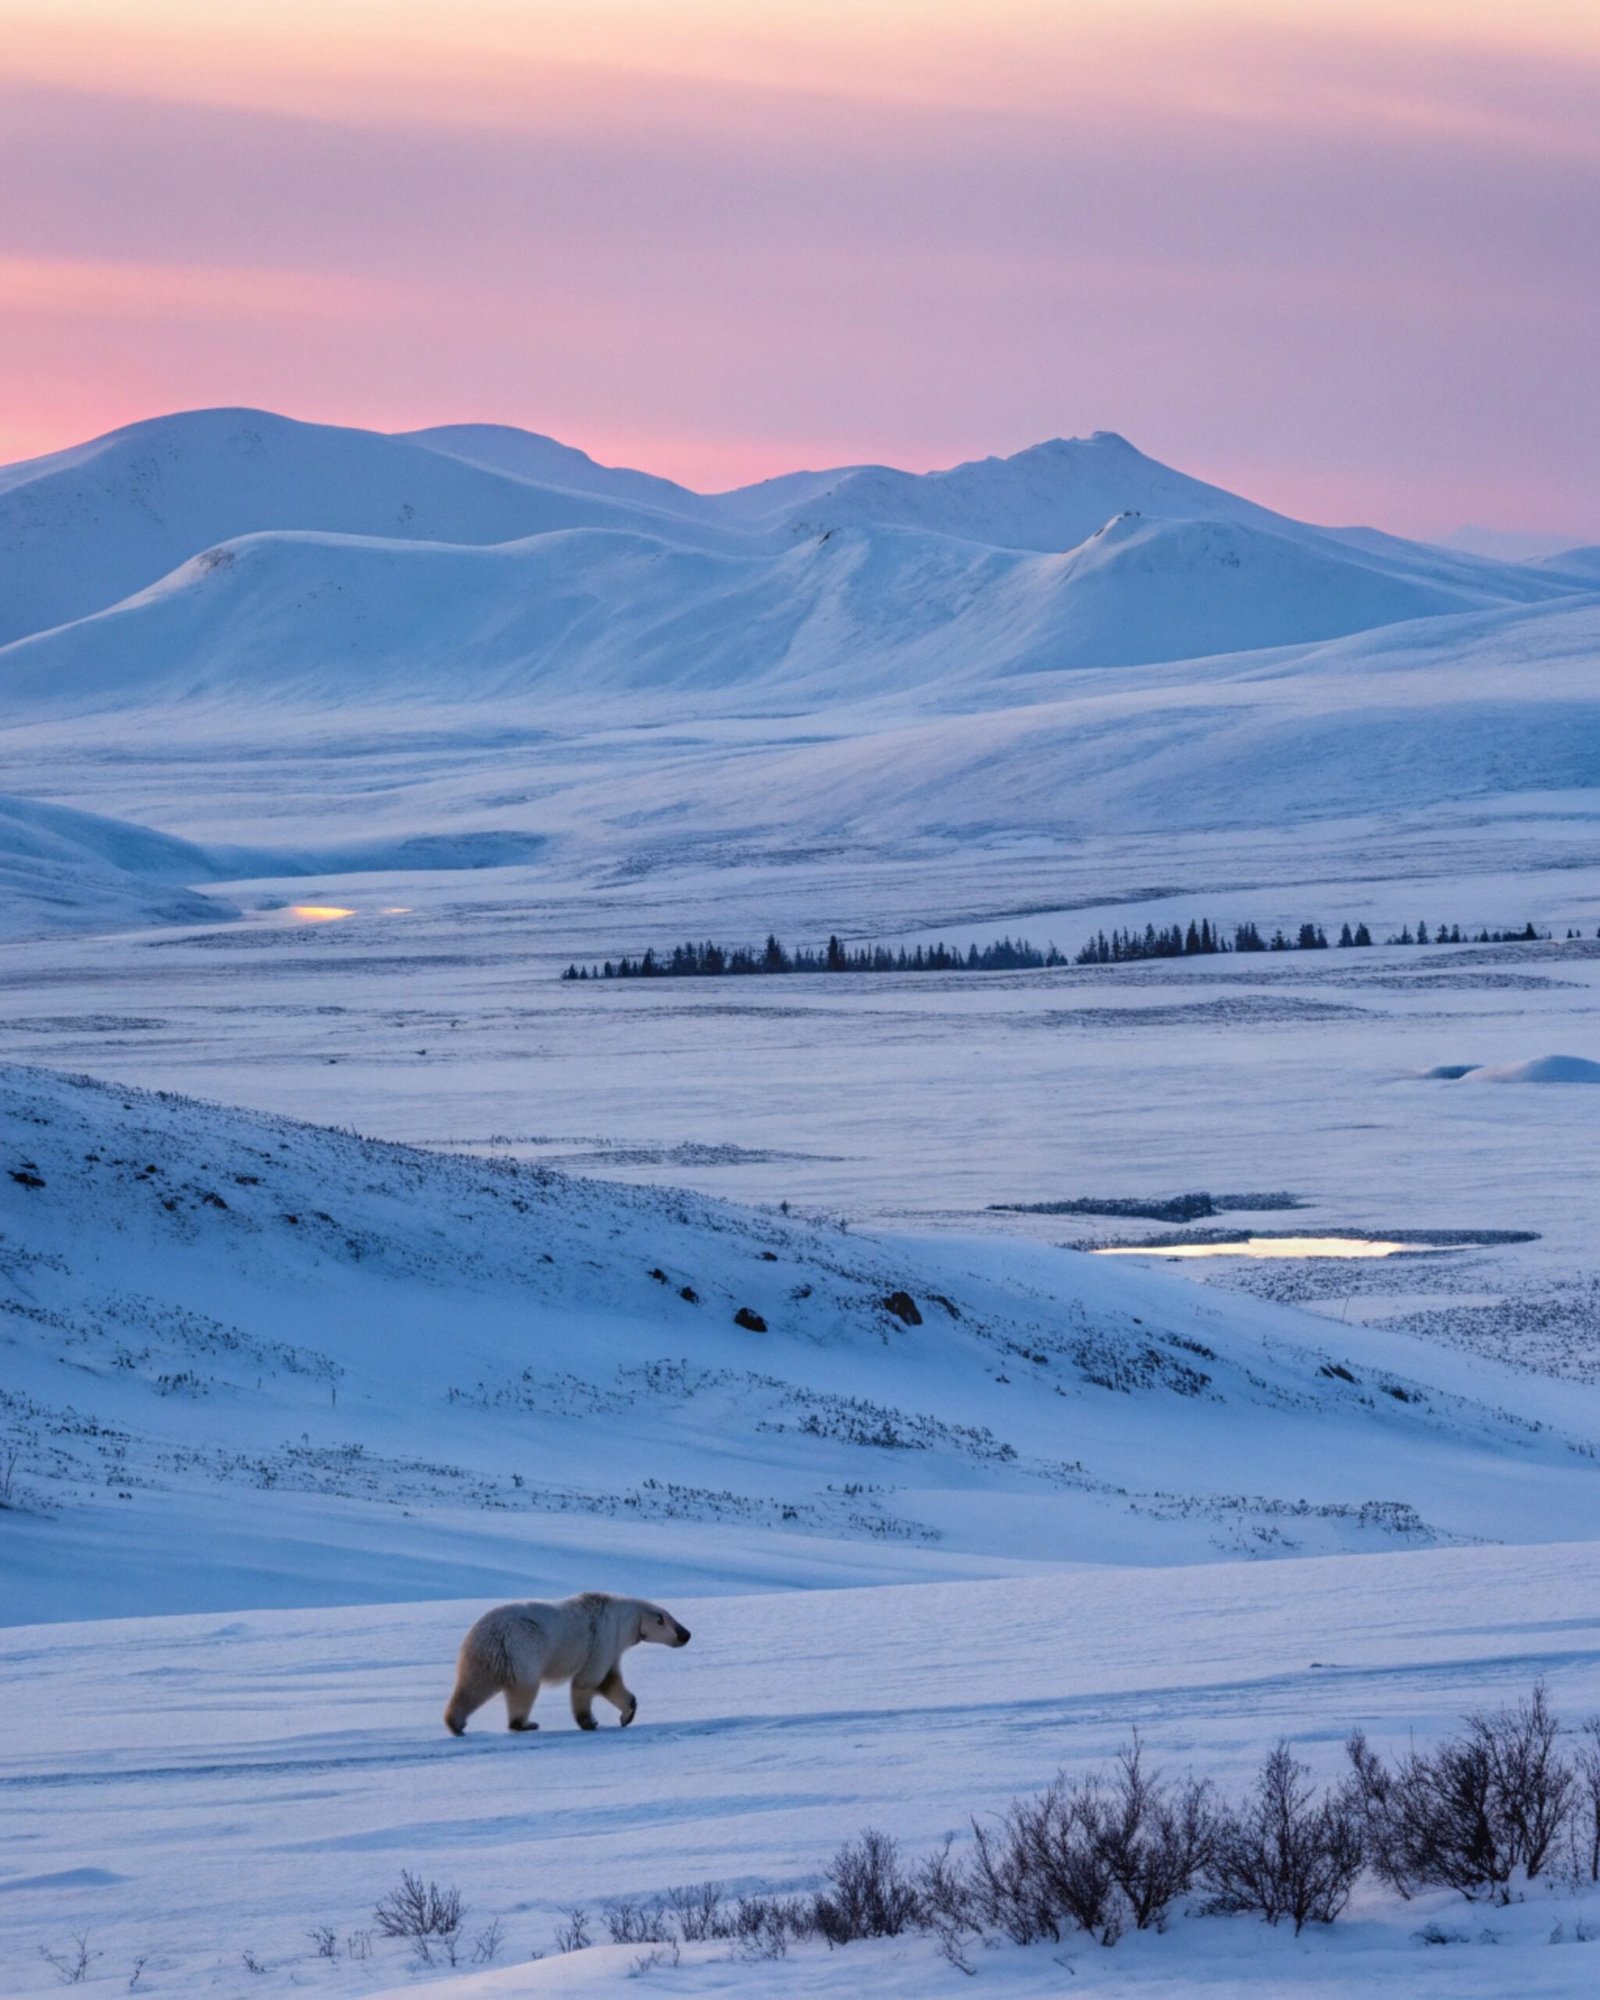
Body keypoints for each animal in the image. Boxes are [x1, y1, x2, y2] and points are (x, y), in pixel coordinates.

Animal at [443, 1590, 691, 1736]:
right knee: (524, 1689)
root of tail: (484, 1633)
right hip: (521, 1650)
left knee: (473, 1686)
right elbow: (588, 1681)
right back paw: (525, 1724)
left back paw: (456, 1723)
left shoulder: (611, 1649)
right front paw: (589, 1722)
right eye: (671, 1622)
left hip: (484, 1656)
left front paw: (626, 1715)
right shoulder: (603, 1638)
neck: (622, 1619)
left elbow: (610, 1682)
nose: (686, 1634)